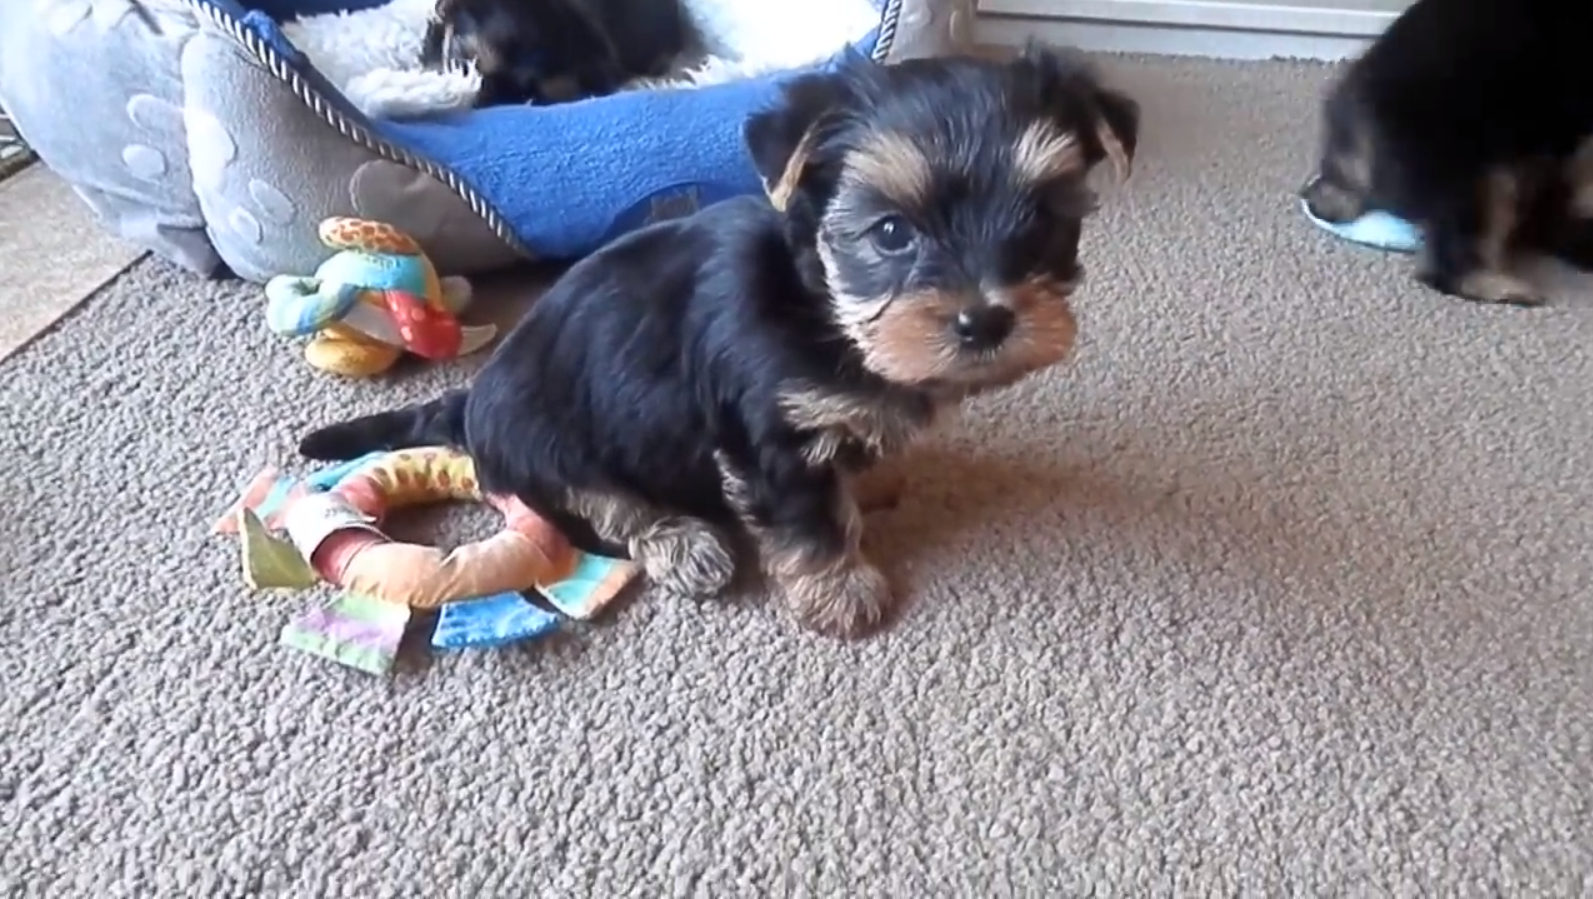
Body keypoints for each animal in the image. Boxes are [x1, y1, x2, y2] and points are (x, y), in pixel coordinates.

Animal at [296, 47, 1146, 637]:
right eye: (891, 233)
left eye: (1043, 220)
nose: (984, 320)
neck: (820, 308)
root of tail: (472, 395)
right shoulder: (770, 434)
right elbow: (806, 515)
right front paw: (840, 589)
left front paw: (868, 475)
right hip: (545, 431)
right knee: (597, 497)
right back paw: (684, 541)